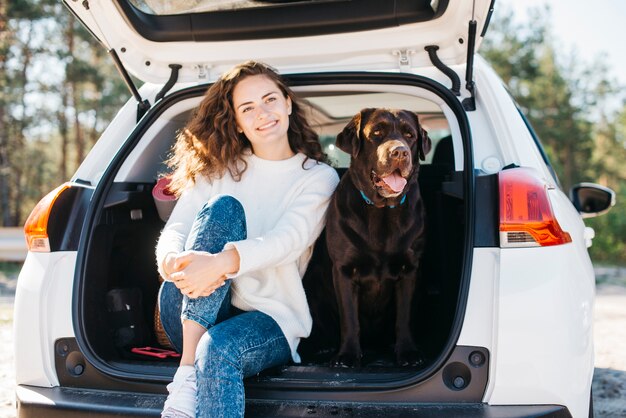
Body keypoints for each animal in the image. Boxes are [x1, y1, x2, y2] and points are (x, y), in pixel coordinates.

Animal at [322, 108, 428, 366]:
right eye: (377, 133)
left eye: (409, 135)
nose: (399, 151)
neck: (382, 212)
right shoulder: (343, 270)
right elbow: (350, 318)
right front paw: (347, 356)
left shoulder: (410, 270)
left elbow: (404, 317)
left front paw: (408, 352)